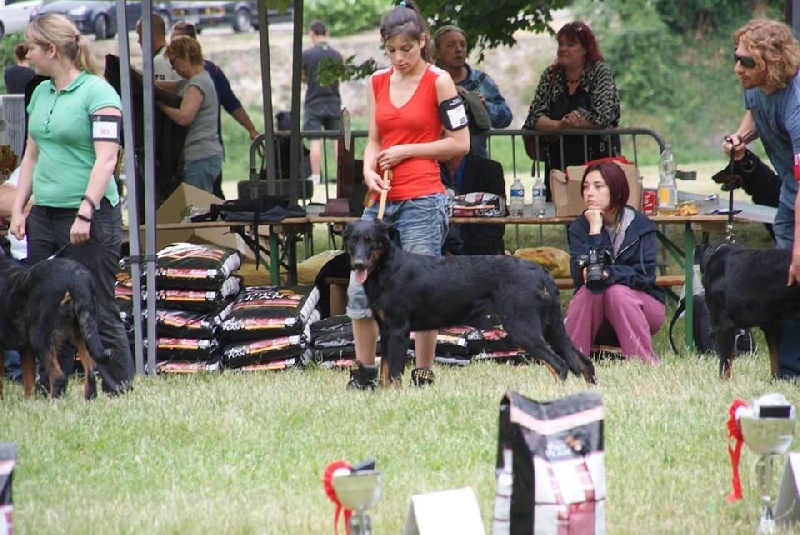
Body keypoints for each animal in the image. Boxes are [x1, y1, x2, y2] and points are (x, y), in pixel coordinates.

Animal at [0, 250, 108, 400]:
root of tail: (76, 277)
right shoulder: (26, 348)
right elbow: (29, 383)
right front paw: (29, 402)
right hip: (83, 330)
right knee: (90, 372)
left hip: (40, 339)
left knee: (58, 377)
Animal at [342, 219, 596, 384]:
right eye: (353, 240)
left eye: (370, 241)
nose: (358, 264)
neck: (386, 269)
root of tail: (542, 273)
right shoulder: (385, 331)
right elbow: (384, 372)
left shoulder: (398, 330)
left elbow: (393, 375)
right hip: (550, 326)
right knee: (582, 360)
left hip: (523, 327)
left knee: (559, 365)